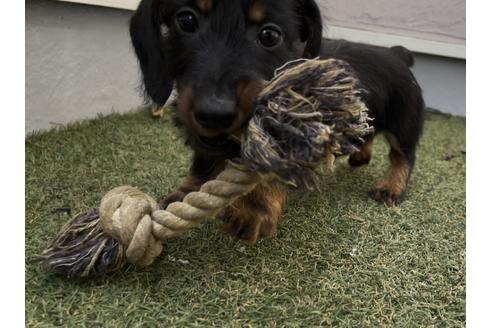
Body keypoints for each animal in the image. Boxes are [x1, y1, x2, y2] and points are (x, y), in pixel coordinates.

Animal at [130, 0, 422, 243]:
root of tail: (396, 53)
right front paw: (190, 189)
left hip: (404, 123)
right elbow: (203, 159)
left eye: (270, 35)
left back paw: (391, 187)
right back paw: (360, 155)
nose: (215, 112)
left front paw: (255, 205)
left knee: (403, 156)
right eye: (186, 20)